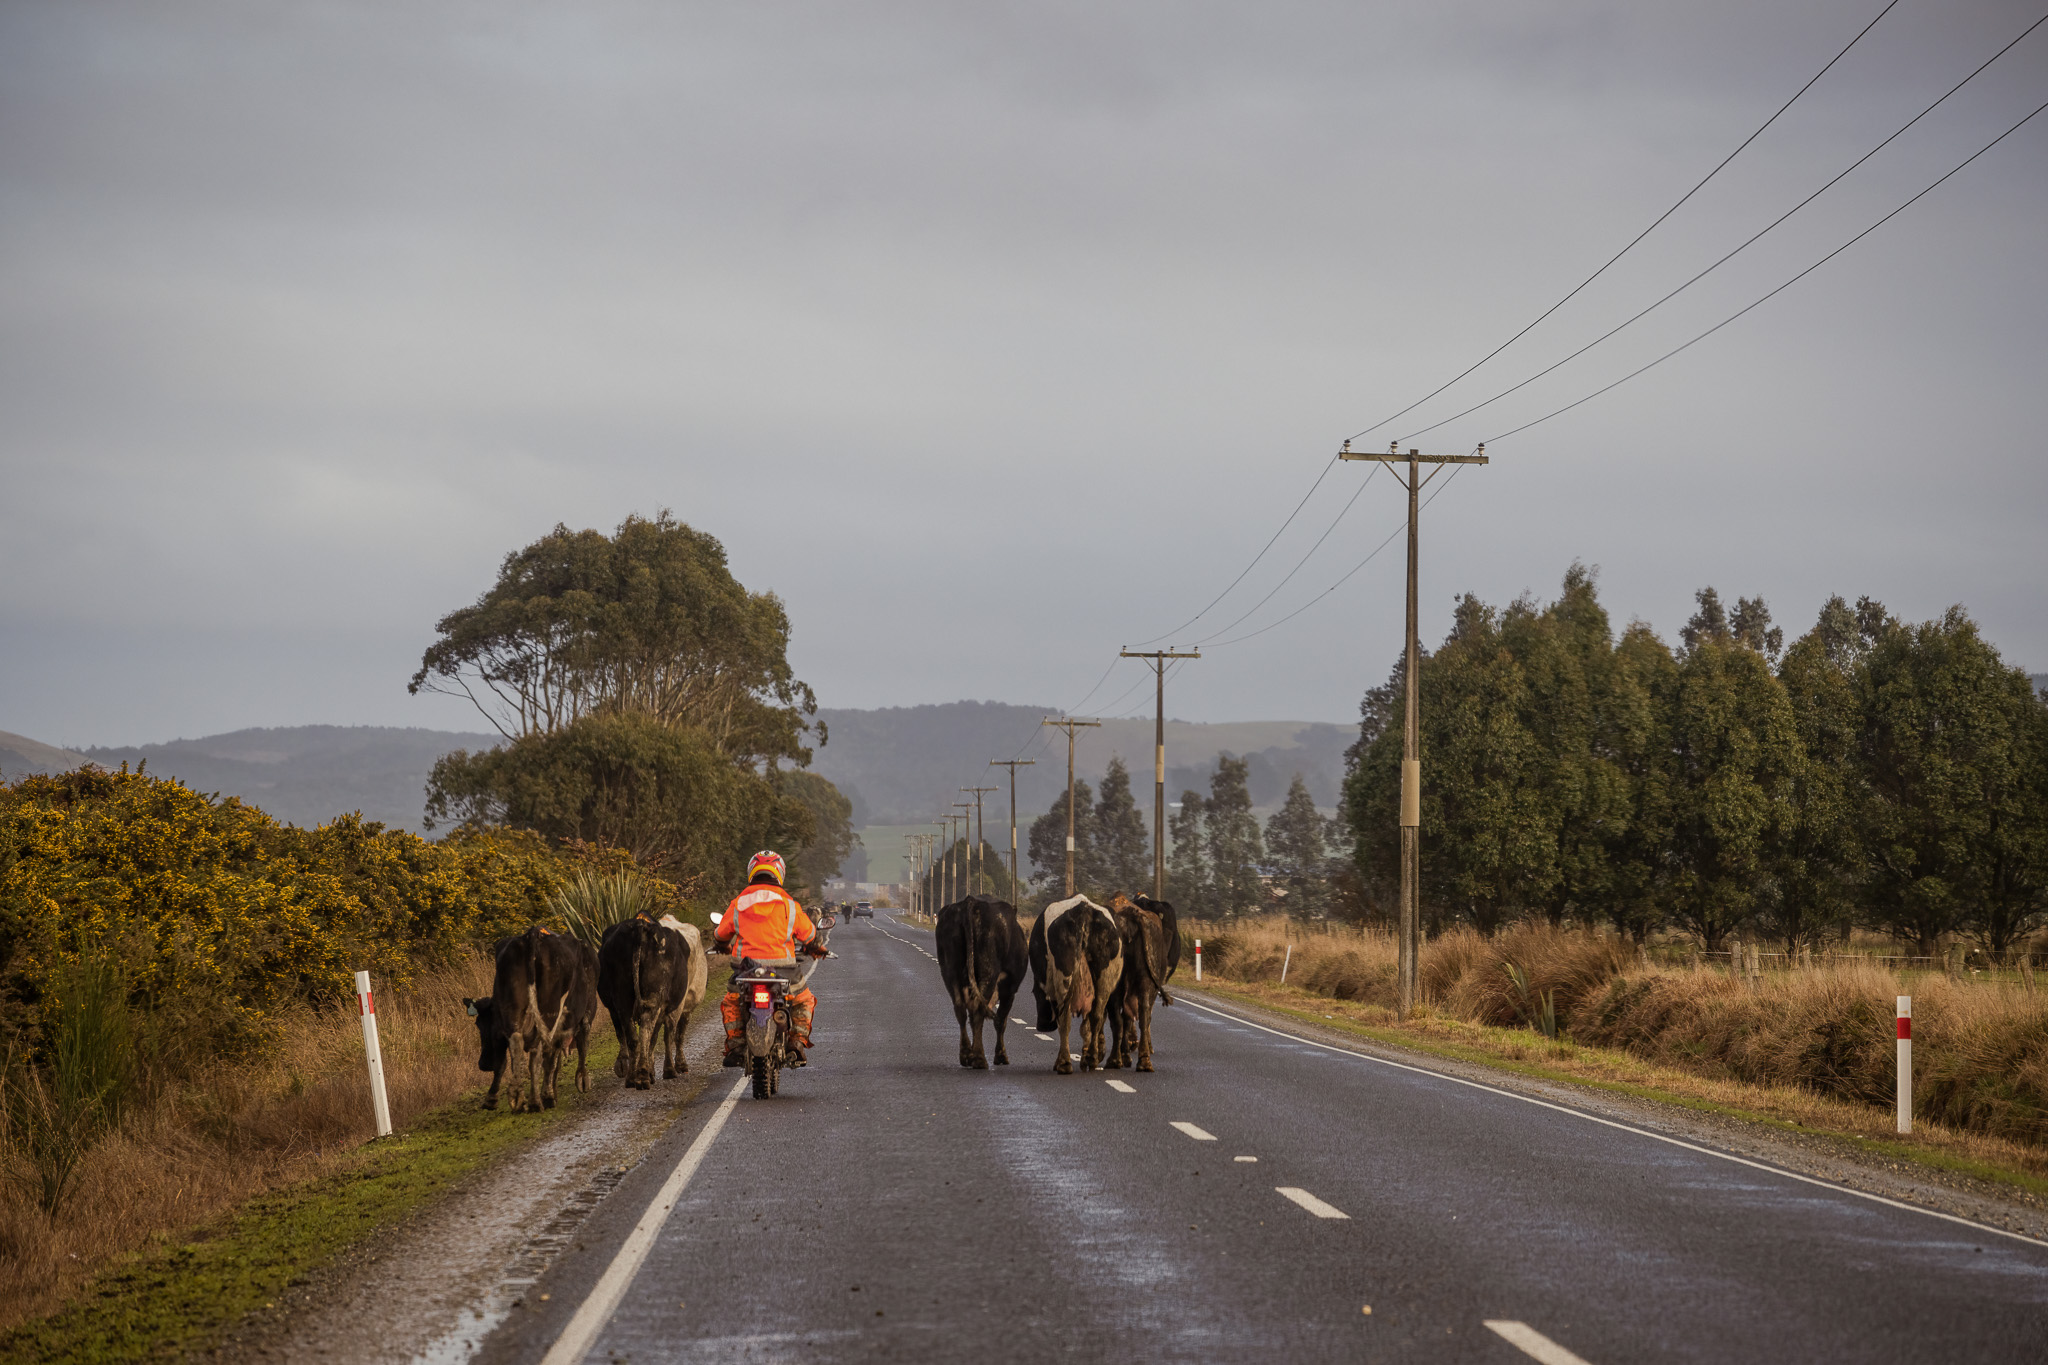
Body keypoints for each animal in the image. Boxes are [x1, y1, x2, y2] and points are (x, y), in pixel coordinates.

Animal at [460, 929, 598, 1113]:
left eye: (479, 1024)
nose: (484, 1064)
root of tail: (532, 935)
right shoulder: (584, 1014)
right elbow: (565, 1054)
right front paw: (575, 1082)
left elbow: (503, 1062)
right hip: (549, 1015)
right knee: (540, 1055)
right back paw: (538, 1100)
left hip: (512, 1013)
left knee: (516, 1047)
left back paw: (514, 1098)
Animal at [598, 912, 708, 1096]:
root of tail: (640, 927)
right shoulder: (681, 1005)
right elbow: (673, 1034)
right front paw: (674, 1067)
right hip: (654, 999)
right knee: (649, 1031)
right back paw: (645, 1075)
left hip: (623, 1000)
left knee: (633, 1037)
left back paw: (632, 1076)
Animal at [937, 892, 1032, 1072]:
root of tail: (971, 902)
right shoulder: (1010, 988)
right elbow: (1001, 1020)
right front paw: (1000, 1056)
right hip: (989, 972)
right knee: (977, 1009)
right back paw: (979, 1058)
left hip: (949, 971)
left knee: (960, 1009)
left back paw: (966, 1055)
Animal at [1032, 896, 1130, 1080]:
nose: (1043, 1025)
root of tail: (1084, 911)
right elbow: (1088, 1025)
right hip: (1103, 980)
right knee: (1099, 1016)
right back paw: (1093, 1058)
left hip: (1064, 978)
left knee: (1065, 1020)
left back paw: (1064, 1063)